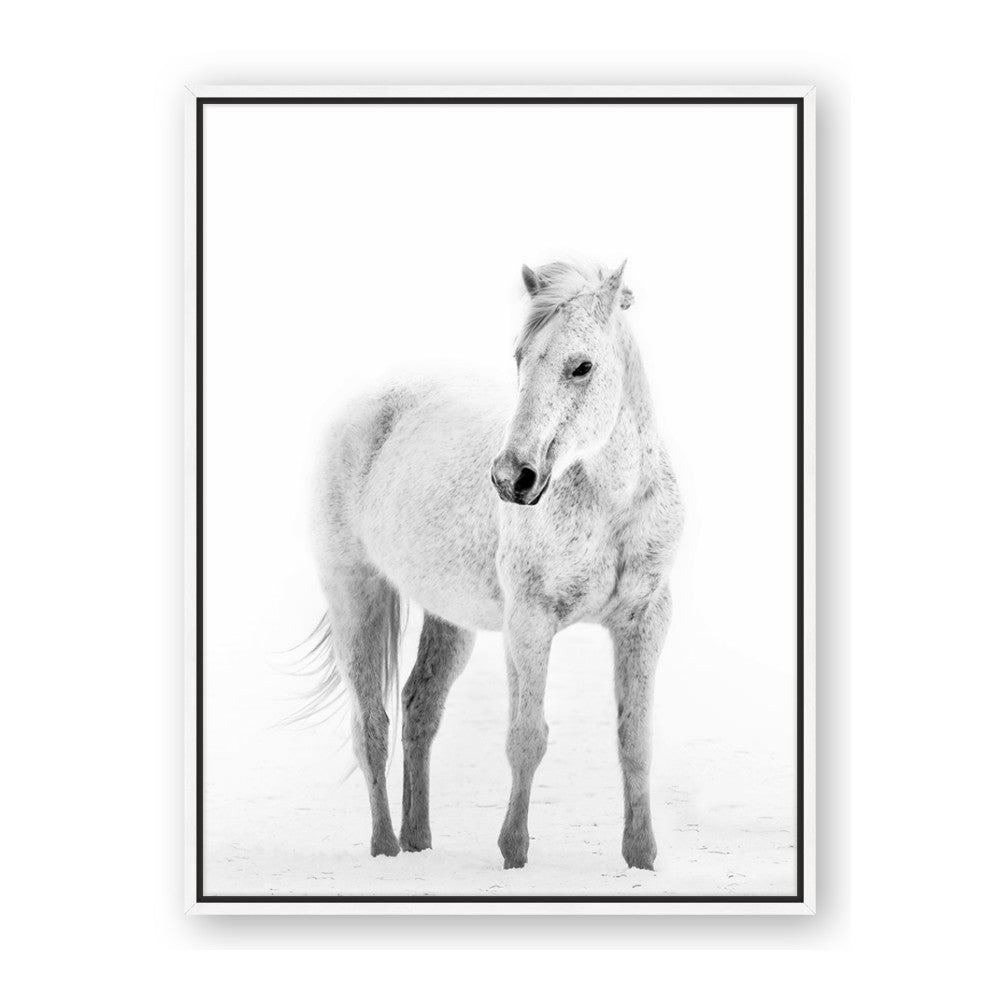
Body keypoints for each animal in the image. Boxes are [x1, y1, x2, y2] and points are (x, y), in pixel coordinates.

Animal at [306, 259, 683, 870]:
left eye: (582, 366)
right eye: (520, 358)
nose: (512, 478)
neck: (611, 505)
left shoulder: (645, 620)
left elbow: (635, 741)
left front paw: (641, 859)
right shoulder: (529, 623)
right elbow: (526, 738)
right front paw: (513, 854)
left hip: (448, 618)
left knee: (419, 708)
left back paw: (418, 841)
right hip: (354, 594)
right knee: (372, 726)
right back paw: (386, 849)